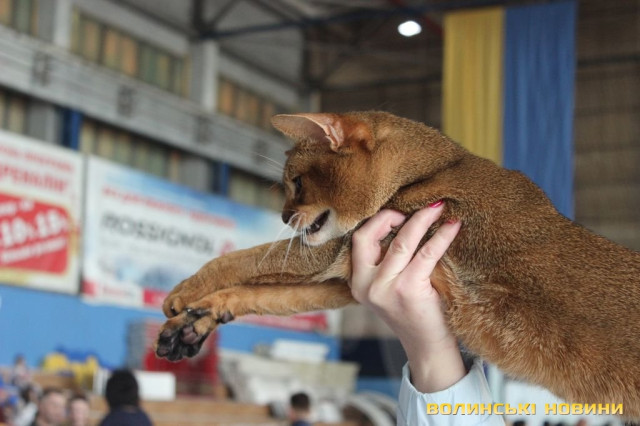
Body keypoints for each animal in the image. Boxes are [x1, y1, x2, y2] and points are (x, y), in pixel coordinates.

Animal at [155, 111, 640, 418]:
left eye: (296, 184)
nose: (283, 217)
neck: (426, 170)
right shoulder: (346, 280)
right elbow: (264, 295)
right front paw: (197, 319)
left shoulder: (331, 252)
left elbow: (244, 257)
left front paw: (184, 291)